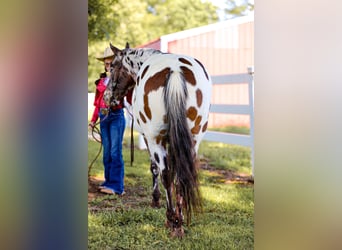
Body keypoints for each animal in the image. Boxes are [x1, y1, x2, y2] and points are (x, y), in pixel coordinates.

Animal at [103, 43, 212, 238]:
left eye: (113, 66)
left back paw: (172, 221)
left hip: (156, 139)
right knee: (181, 175)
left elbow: (154, 168)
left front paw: (155, 200)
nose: (108, 97)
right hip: (194, 139)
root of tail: (175, 70)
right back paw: (179, 221)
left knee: (166, 174)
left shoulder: (148, 138)